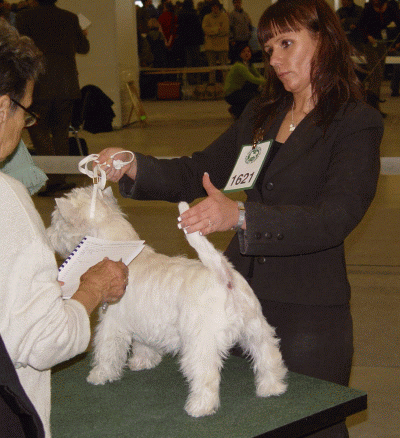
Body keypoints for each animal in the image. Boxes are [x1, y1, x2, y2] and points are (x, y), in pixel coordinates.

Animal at [47, 186, 288, 418]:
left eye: (56, 221)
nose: (48, 237)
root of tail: (224, 276)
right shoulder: (144, 321)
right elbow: (143, 344)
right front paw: (143, 362)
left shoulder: (112, 324)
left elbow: (107, 351)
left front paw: (99, 375)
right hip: (255, 329)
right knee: (268, 357)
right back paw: (272, 388)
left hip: (200, 343)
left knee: (206, 375)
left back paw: (199, 407)